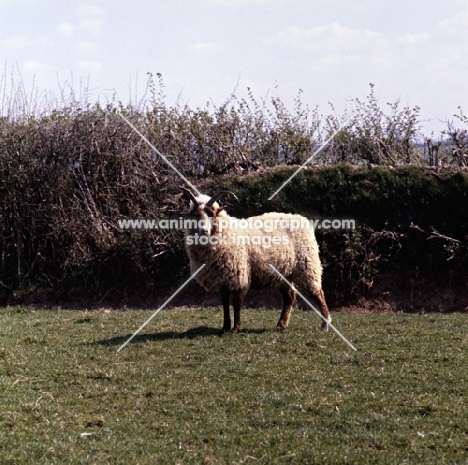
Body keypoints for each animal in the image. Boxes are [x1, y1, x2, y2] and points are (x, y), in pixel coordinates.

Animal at [179, 188, 330, 334]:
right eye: (195, 215)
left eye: (212, 214)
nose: (203, 231)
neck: (227, 231)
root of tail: (301, 219)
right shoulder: (222, 279)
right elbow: (225, 303)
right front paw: (225, 328)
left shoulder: (239, 275)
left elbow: (236, 303)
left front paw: (235, 329)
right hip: (284, 274)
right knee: (289, 297)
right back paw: (281, 325)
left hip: (307, 266)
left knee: (318, 293)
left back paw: (325, 324)